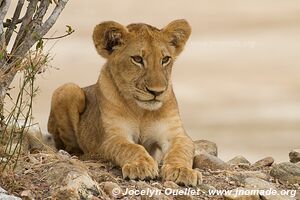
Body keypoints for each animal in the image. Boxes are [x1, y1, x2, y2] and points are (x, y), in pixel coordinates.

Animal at [48, 19, 200, 186]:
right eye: (138, 59)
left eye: (165, 59)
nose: (157, 92)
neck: (142, 111)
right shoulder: (112, 136)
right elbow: (131, 147)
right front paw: (141, 166)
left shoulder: (176, 134)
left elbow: (181, 150)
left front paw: (181, 170)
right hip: (68, 89)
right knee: (69, 147)